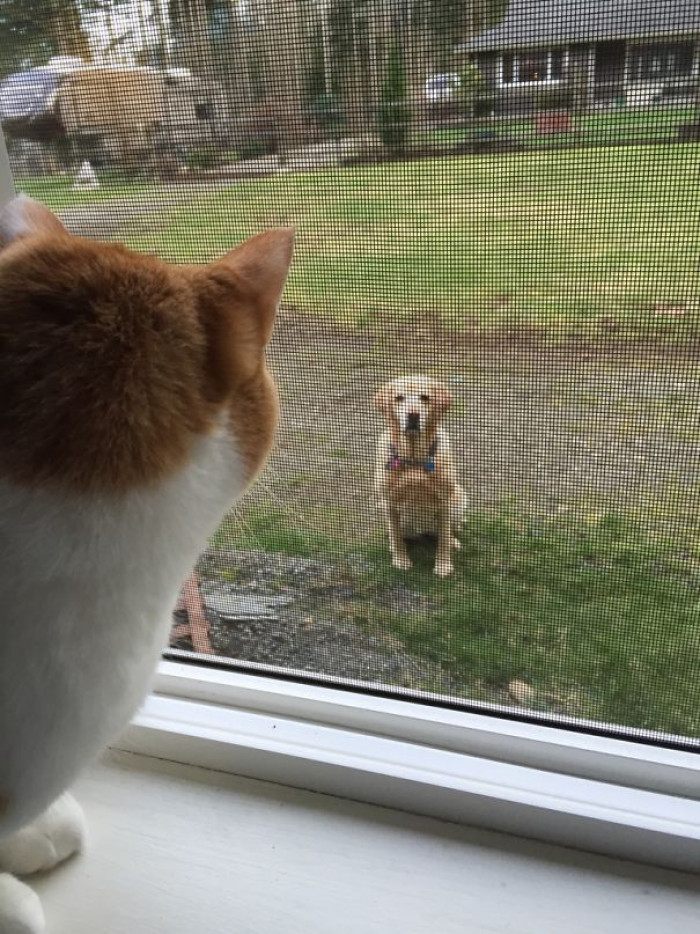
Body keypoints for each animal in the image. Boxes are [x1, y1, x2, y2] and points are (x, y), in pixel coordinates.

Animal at [374, 376, 468, 576]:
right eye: (399, 398)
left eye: (425, 397)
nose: (413, 415)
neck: (414, 459)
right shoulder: (389, 501)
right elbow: (396, 536)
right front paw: (400, 560)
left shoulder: (444, 501)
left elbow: (443, 539)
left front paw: (443, 565)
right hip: (382, 506)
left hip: (459, 497)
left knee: (449, 530)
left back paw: (453, 541)